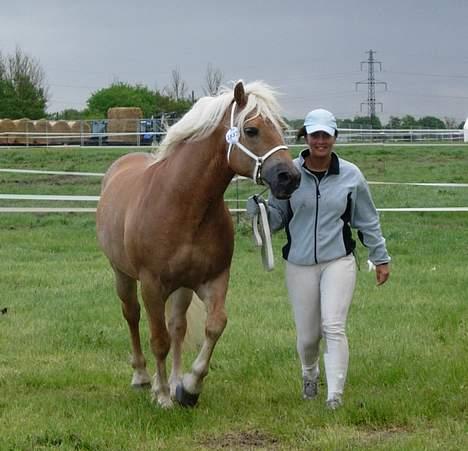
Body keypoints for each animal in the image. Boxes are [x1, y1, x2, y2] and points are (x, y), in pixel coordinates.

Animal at [96, 81, 300, 410]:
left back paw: (174, 381)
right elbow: (159, 340)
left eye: (282, 129)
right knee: (132, 316)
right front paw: (163, 396)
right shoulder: (151, 285)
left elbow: (213, 325)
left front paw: (189, 387)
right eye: (252, 130)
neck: (184, 204)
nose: (289, 178)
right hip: (123, 275)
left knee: (177, 326)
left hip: (182, 287)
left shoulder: (213, 280)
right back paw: (142, 377)